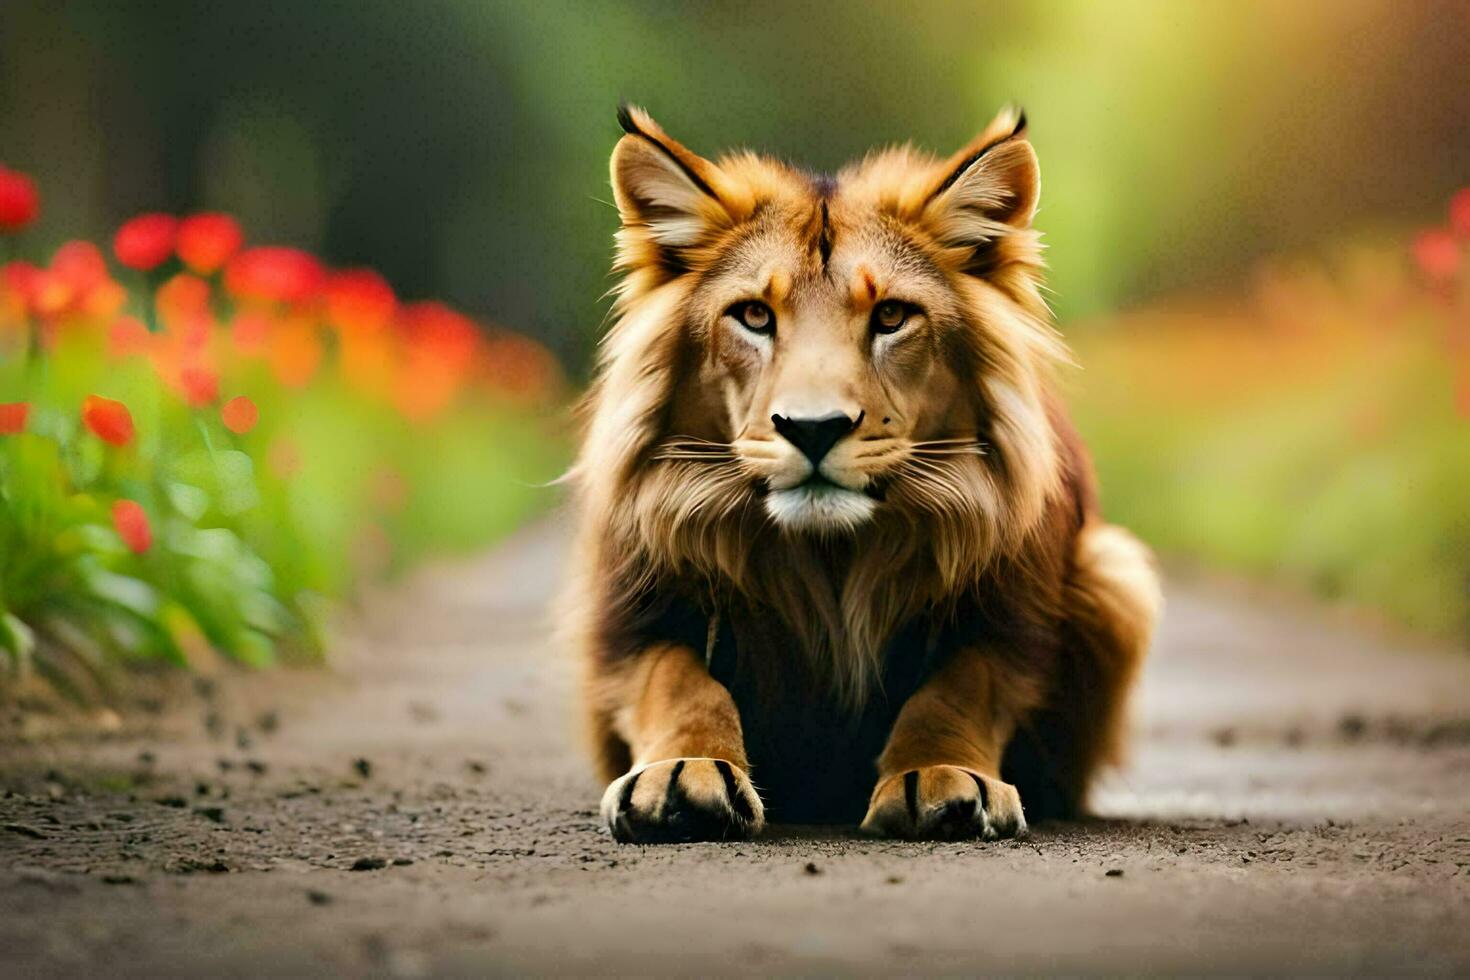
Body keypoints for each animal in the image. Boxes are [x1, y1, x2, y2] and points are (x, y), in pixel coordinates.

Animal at [561, 105, 1158, 846]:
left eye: (891, 316)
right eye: (754, 315)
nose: (814, 428)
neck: (831, 560)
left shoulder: (1019, 619)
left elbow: (960, 686)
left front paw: (939, 775)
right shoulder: (628, 619)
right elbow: (677, 680)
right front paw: (682, 772)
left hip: (1114, 571)